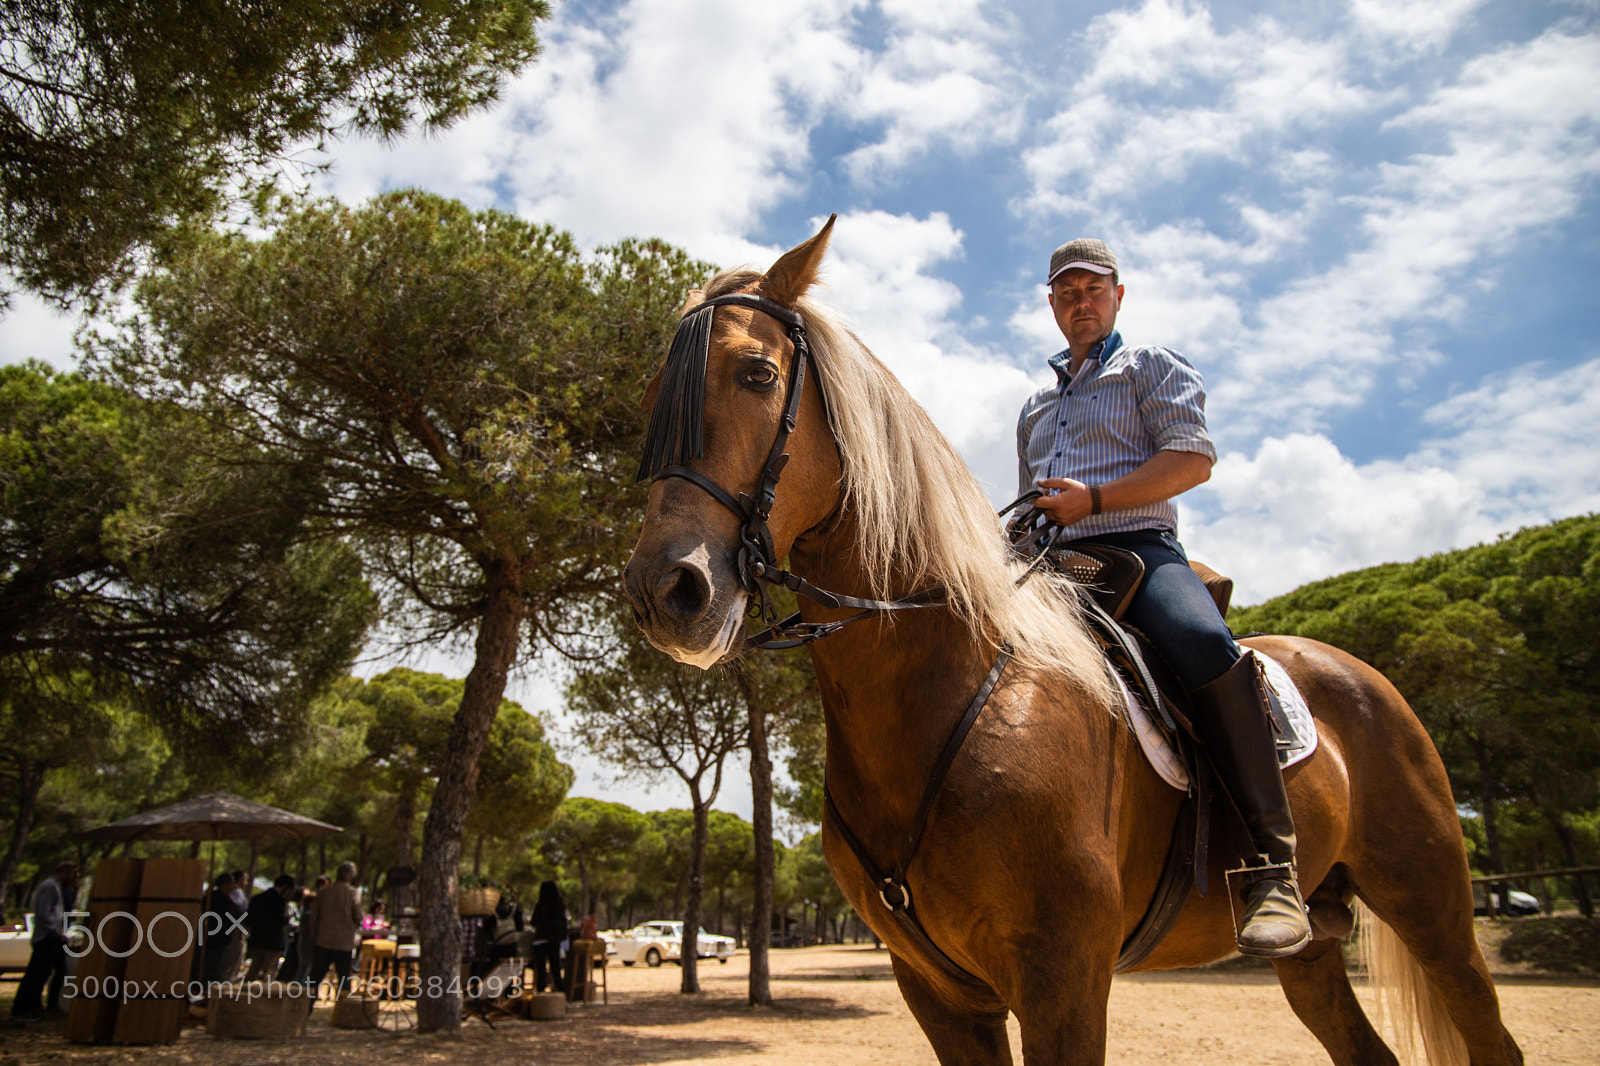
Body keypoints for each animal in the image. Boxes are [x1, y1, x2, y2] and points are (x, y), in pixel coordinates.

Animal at [622, 218, 1522, 1066]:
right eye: (655, 392)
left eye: (757, 374)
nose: (666, 591)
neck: (947, 685)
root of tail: (1358, 673)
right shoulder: (939, 992)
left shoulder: (1064, 978)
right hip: (1314, 952)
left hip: (1432, 908)